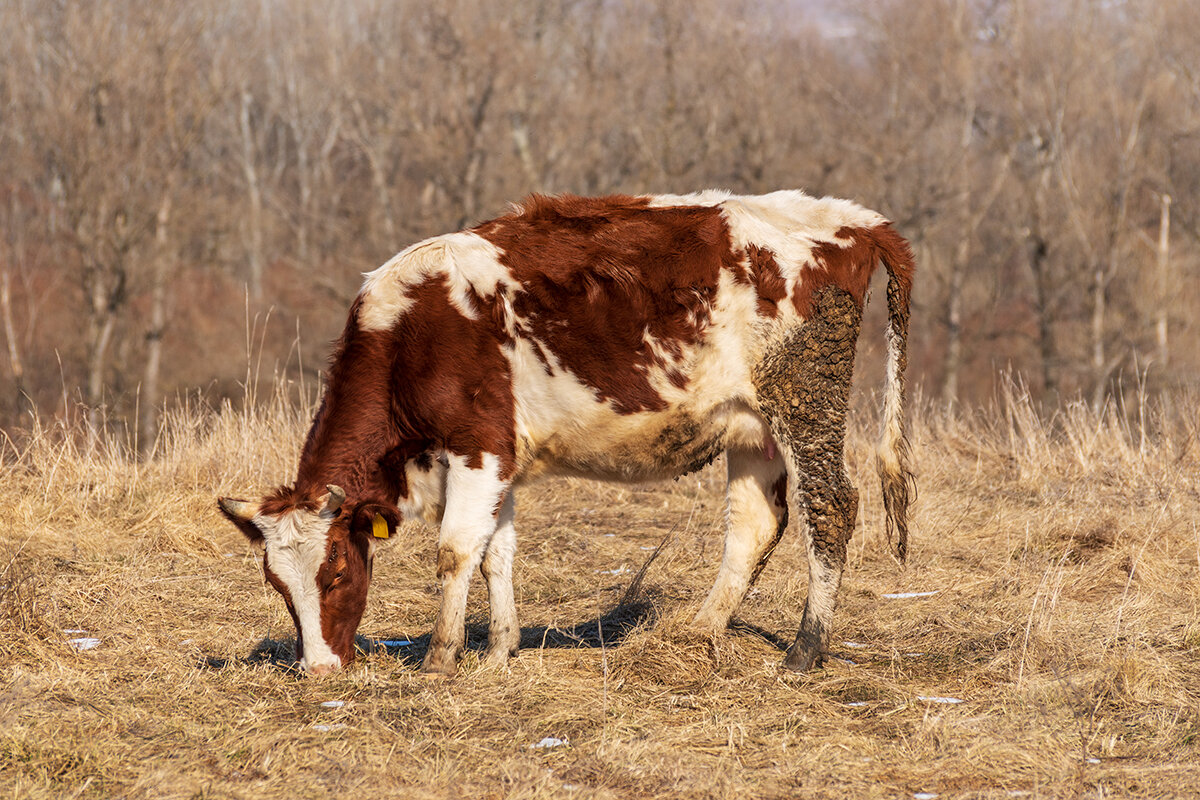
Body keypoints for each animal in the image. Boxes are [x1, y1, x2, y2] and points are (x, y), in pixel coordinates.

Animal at [216, 191, 912, 676]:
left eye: (336, 572)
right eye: (278, 585)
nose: (318, 670)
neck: (409, 331)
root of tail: (849, 220)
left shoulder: (477, 444)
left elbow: (455, 550)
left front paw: (441, 657)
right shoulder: (499, 459)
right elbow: (496, 552)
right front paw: (498, 651)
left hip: (805, 405)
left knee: (831, 507)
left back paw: (804, 650)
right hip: (753, 427)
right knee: (755, 523)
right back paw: (700, 632)